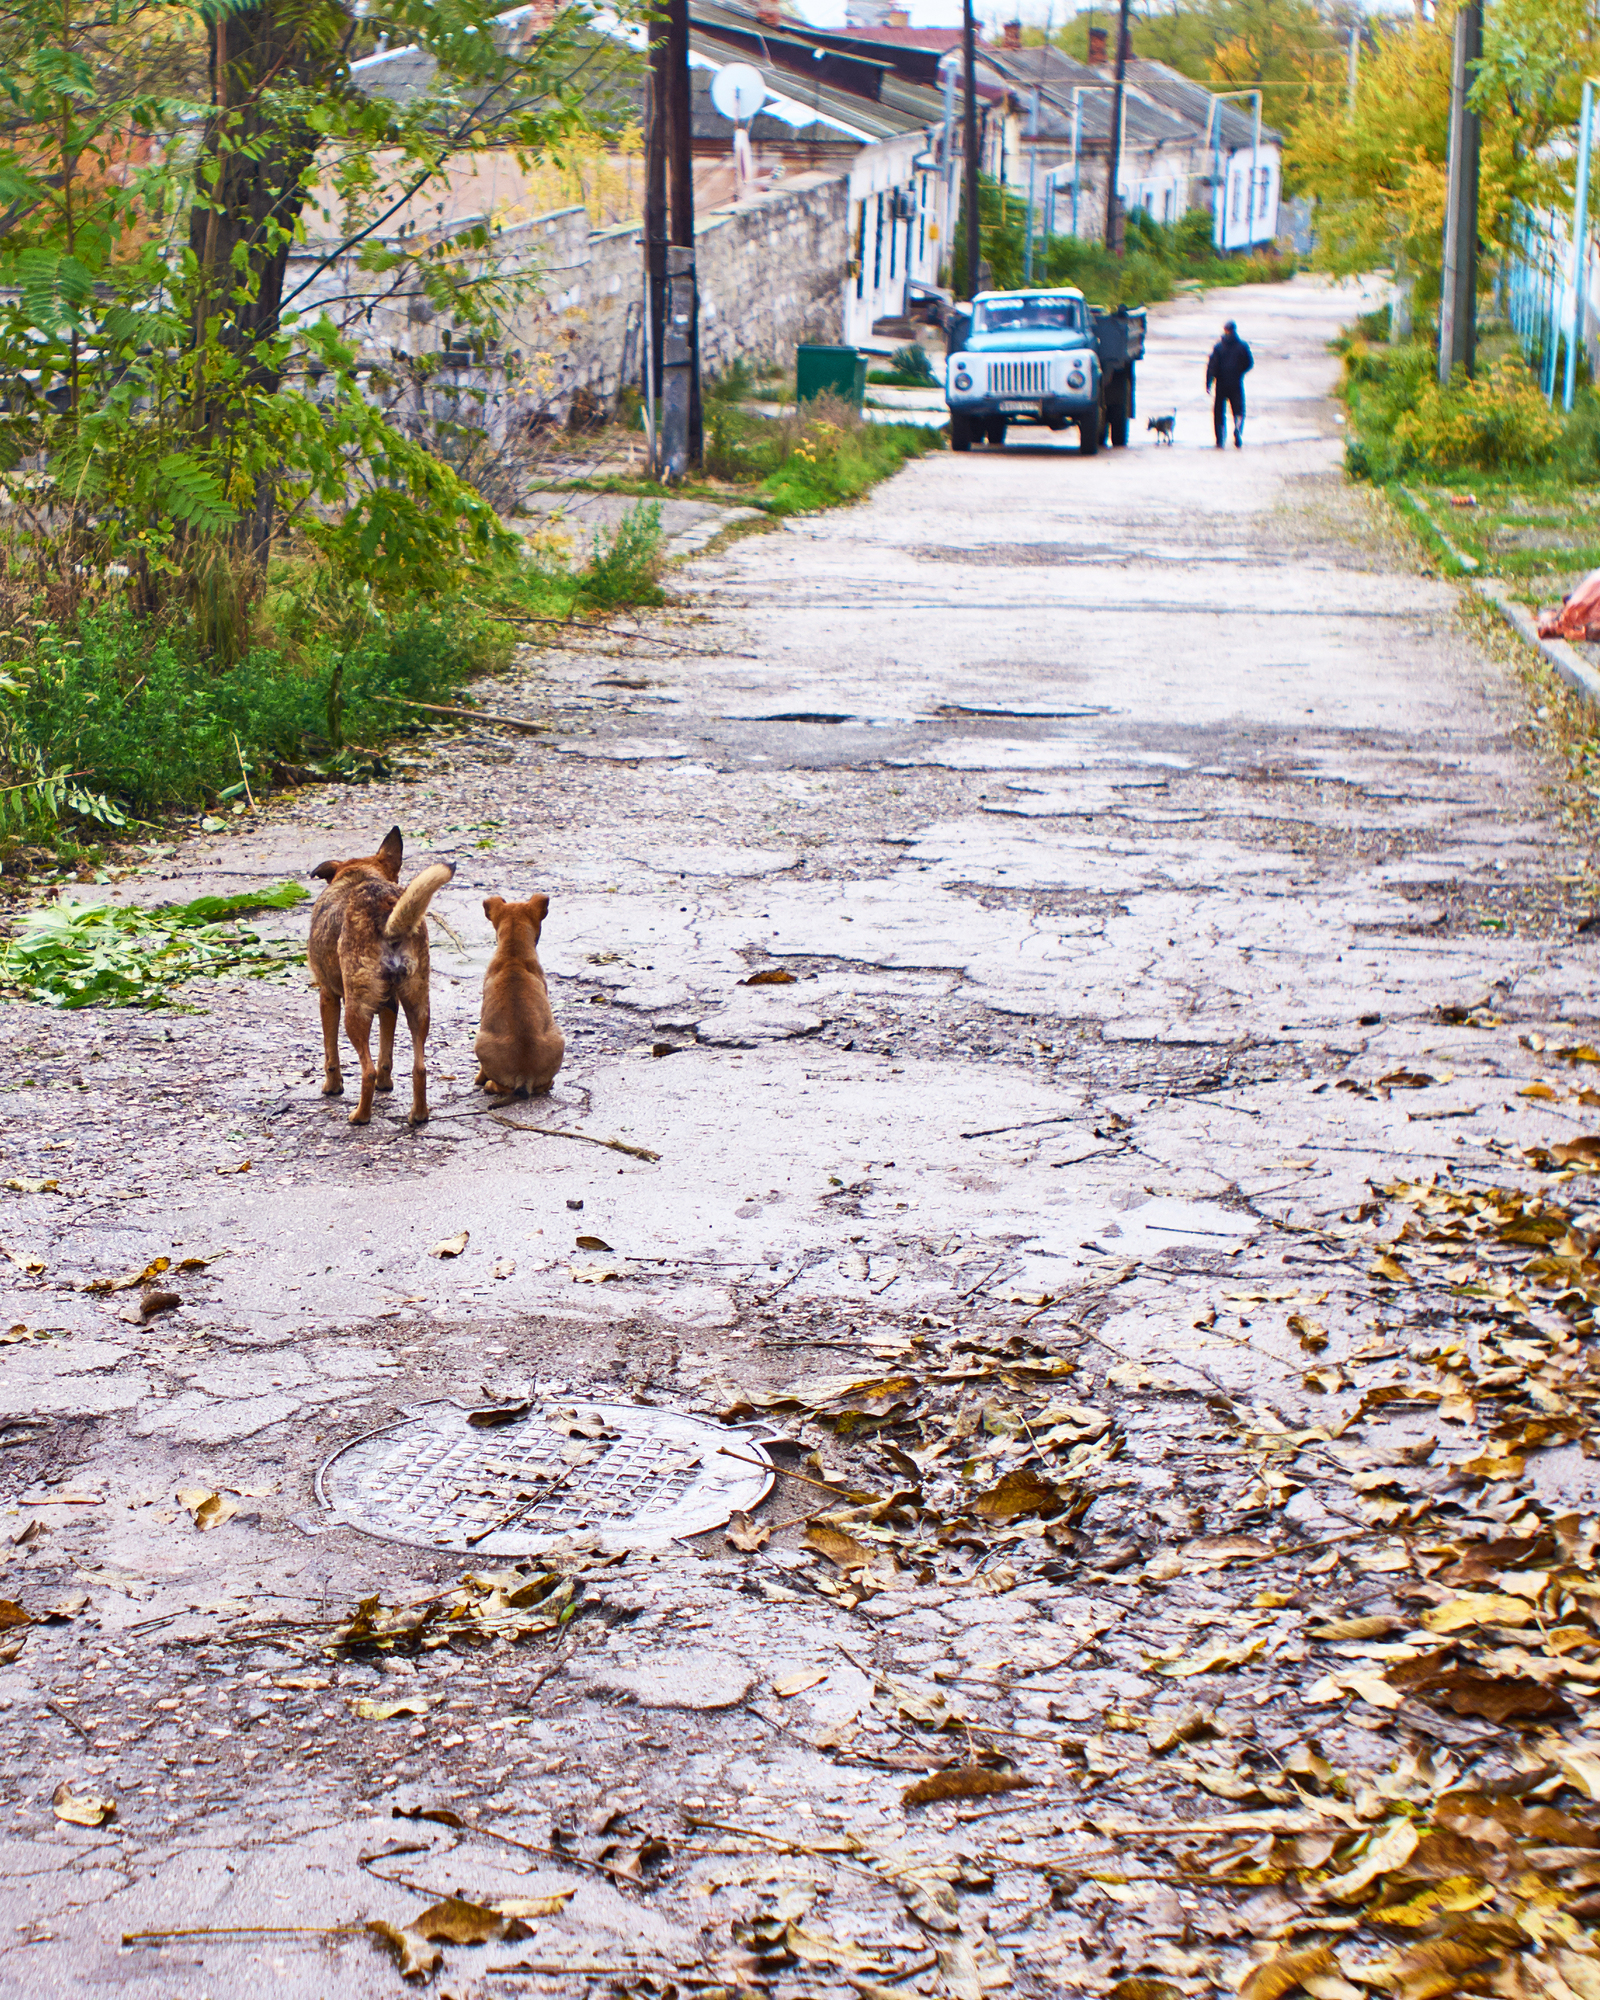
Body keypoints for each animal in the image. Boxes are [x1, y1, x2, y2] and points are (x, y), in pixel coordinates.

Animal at [308, 824, 454, 1128]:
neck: (360, 874)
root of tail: (386, 911)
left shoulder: (327, 996)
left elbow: (331, 1052)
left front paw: (332, 1086)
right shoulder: (390, 1005)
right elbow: (386, 1054)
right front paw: (386, 1085)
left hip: (355, 1013)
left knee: (367, 1071)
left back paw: (360, 1116)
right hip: (418, 1007)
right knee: (419, 1067)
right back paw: (418, 1114)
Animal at [472, 900, 564, 1104]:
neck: (513, 954)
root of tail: (525, 1076)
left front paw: (479, 1079)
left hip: (479, 1040)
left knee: (500, 1086)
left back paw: (489, 1085)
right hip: (559, 1037)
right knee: (547, 1084)